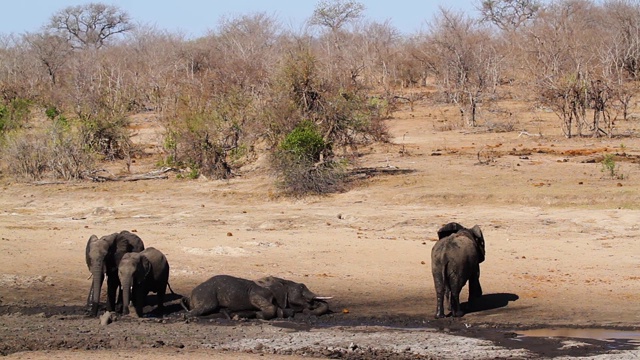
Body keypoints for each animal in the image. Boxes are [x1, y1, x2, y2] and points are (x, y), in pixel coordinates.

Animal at [180, 274, 330, 320]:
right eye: (302, 287)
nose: (311, 305)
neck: (282, 281)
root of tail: (190, 295)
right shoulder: (260, 292)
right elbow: (256, 300)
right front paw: (260, 316)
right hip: (207, 294)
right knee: (207, 306)